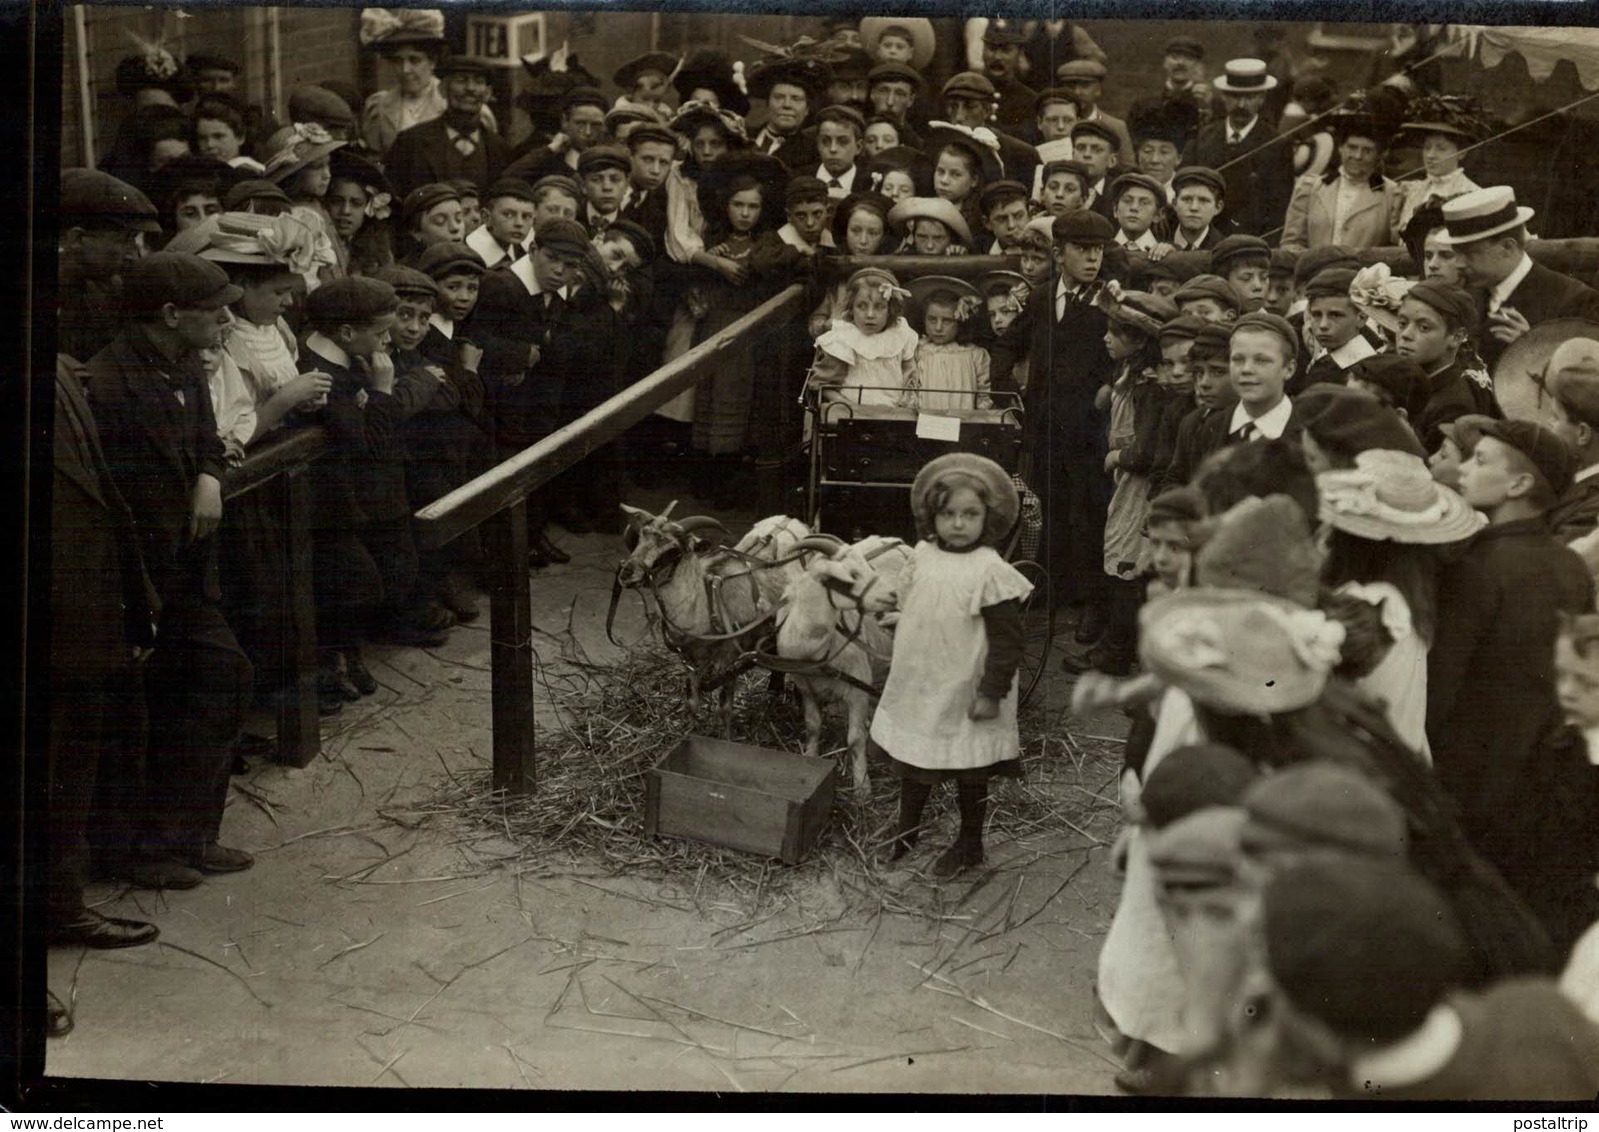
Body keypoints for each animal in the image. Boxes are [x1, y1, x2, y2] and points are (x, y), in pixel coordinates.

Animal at [614, 502, 805, 735]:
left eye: (673, 550)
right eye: (639, 538)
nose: (626, 573)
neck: (703, 603)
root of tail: (790, 518)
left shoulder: (729, 657)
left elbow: (724, 706)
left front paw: (724, 736)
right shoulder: (688, 659)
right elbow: (691, 701)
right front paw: (689, 730)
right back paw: (773, 693)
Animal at [777, 534, 914, 793]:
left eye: (869, 567)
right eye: (852, 574)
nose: (893, 595)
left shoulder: (857, 689)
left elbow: (855, 739)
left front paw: (862, 786)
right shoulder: (804, 687)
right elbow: (812, 725)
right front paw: (810, 757)